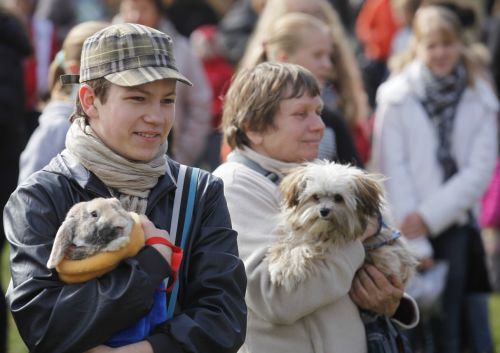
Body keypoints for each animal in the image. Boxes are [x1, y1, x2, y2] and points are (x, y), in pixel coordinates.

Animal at [268, 160, 416, 292]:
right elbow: (287, 242)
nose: (324, 211)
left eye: (338, 198)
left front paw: (286, 267)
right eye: (315, 197)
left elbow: (310, 245)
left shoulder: (336, 239)